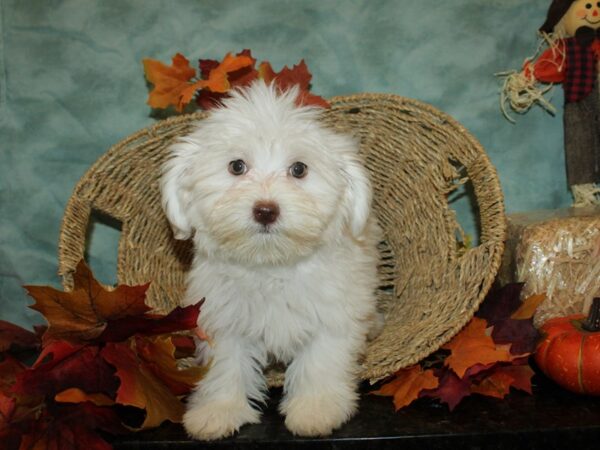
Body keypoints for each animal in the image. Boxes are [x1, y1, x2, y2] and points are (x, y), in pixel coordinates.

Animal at [162, 81, 380, 440]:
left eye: (299, 169)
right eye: (236, 166)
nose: (266, 210)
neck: (271, 266)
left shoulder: (333, 313)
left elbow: (321, 359)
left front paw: (316, 409)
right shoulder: (222, 318)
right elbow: (225, 366)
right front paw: (218, 411)